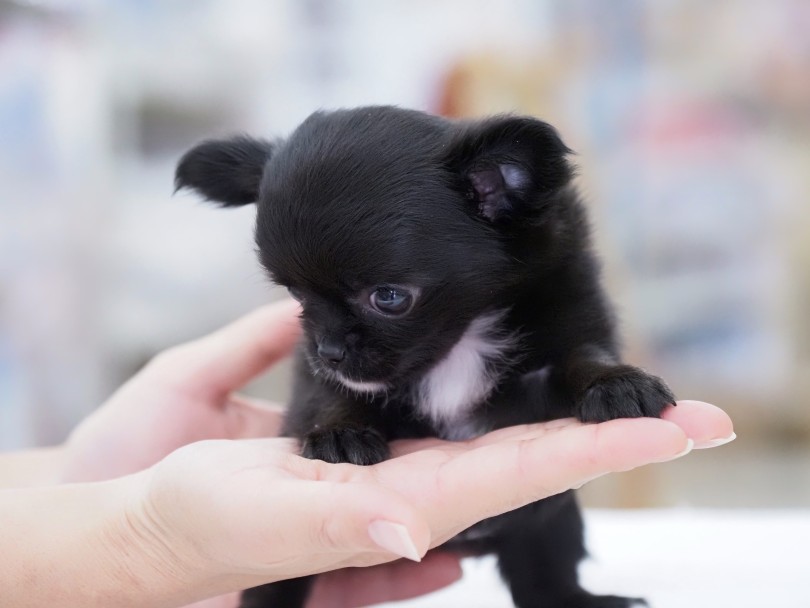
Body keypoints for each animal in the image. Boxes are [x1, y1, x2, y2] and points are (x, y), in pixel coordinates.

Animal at [178, 108, 676, 608]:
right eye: (296, 295)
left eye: (389, 297)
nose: (328, 351)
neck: (463, 336)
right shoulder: (316, 378)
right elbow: (328, 397)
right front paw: (339, 433)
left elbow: (582, 357)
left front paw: (616, 383)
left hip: (551, 523)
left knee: (542, 574)